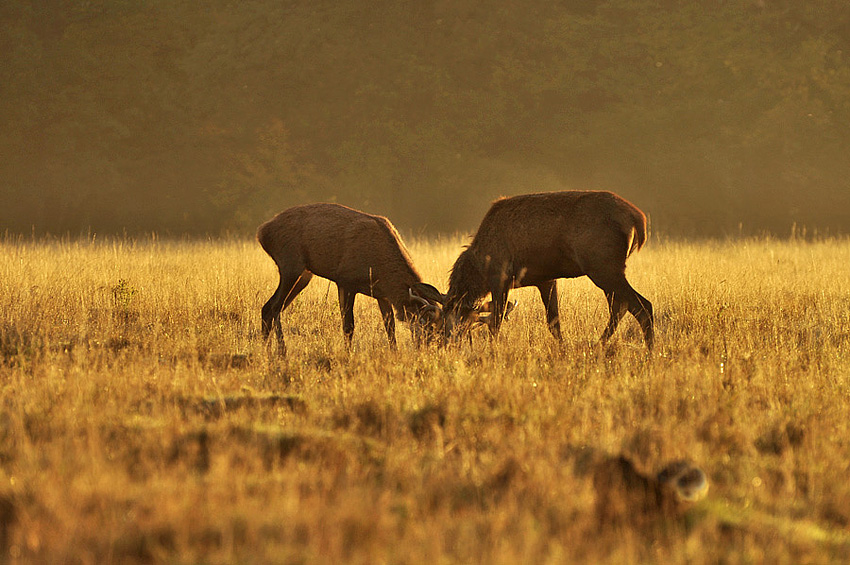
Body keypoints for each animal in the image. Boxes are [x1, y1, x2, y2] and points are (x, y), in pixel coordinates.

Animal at [256, 203, 444, 352]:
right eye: (427, 327)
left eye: (440, 328)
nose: (429, 349)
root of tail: (262, 232)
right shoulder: (345, 281)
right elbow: (348, 326)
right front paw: (348, 354)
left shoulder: (382, 295)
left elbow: (390, 327)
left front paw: (394, 352)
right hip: (290, 265)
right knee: (274, 307)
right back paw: (281, 350)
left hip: (304, 275)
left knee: (269, 308)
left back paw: (268, 351)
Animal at [444, 192, 648, 346]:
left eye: (451, 321)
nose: (445, 343)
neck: (479, 269)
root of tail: (638, 219)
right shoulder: (545, 279)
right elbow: (553, 322)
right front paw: (563, 348)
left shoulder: (500, 277)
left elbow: (495, 322)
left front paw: (492, 349)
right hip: (606, 270)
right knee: (620, 307)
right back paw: (599, 344)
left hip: (603, 267)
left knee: (642, 307)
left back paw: (648, 352)